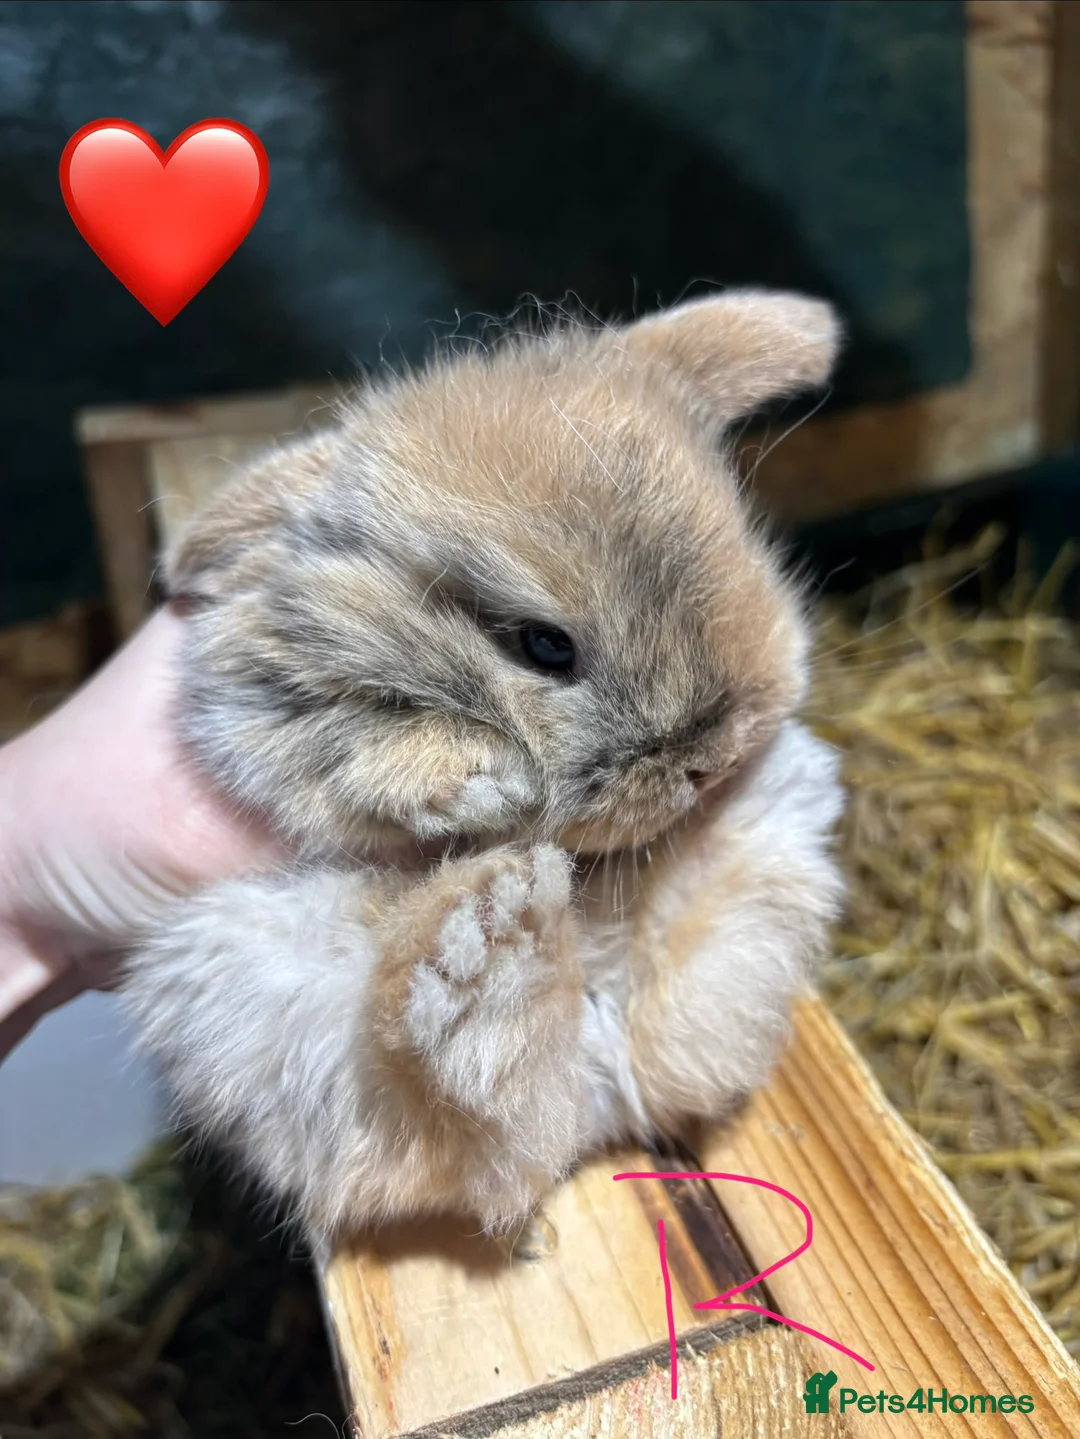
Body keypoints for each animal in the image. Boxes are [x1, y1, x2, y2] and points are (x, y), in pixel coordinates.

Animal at [121, 290, 847, 1238]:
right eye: (543, 644)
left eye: (738, 539)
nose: (710, 763)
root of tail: (603, 1079)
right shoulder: (266, 711)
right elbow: (359, 747)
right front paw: (479, 782)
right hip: (257, 1008)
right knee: (446, 1108)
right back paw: (488, 931)